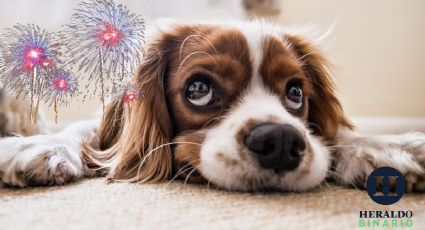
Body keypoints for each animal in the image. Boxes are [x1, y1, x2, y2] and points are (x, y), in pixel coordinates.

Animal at [0, 20, 424, 192]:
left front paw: (385, 146)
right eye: (199, 89)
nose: (281, 141)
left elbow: (337, 134)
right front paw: (38, 147)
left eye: (295, 93)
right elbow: (84, 133)